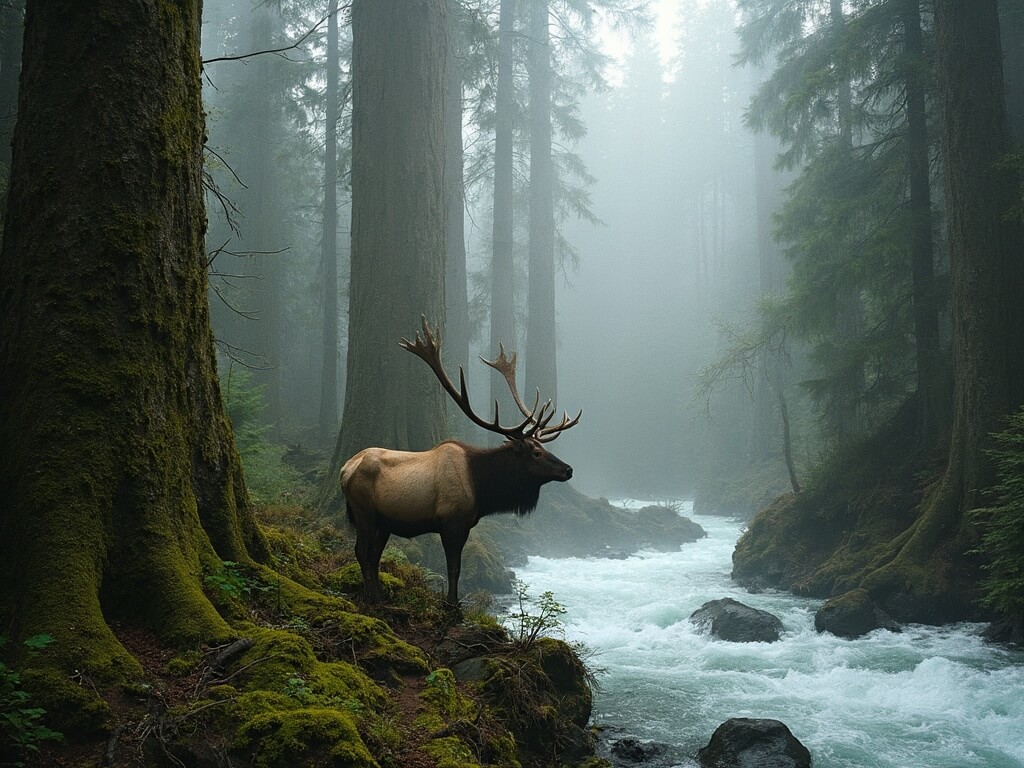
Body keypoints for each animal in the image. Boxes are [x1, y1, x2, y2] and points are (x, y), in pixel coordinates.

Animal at [340, 317, 581, 606]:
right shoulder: (452, 521)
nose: (568, 469)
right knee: (361, 551)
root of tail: (344, 469)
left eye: (543, 447)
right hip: (363, 510)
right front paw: (452, 606)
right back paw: (371, 597)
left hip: (384, 521)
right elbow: (454, 568)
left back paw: (378, 596)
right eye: (535, 452)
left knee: (374, 554)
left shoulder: (463, 524)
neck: (482, 487)